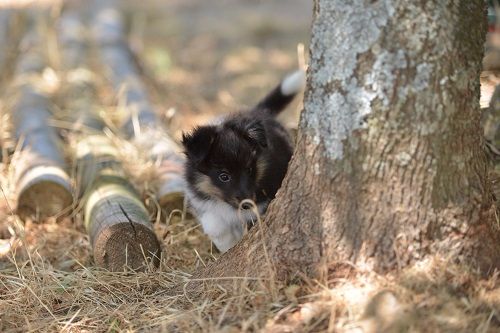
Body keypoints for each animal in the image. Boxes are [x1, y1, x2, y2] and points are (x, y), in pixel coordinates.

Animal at [181, 70, 302, 252]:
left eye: (250, 170)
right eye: (224, 176)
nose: (247, 204)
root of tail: (259, 111)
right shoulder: (201, 200)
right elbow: (215, 226)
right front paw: (226, 246)